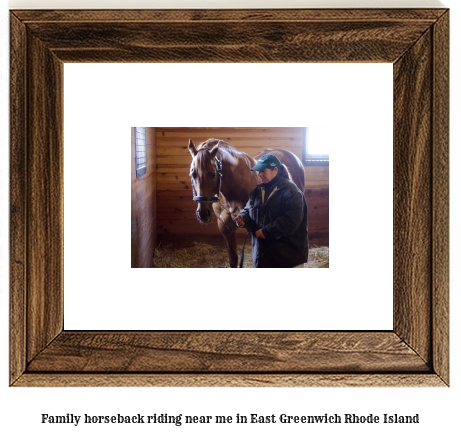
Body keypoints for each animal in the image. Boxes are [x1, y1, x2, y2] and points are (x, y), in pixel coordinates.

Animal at [188, 138, 306, 268]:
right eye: (192, 174)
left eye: (213, 174)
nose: (203, 214)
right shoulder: (226, 228)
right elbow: (233, 259)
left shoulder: (253, 229)